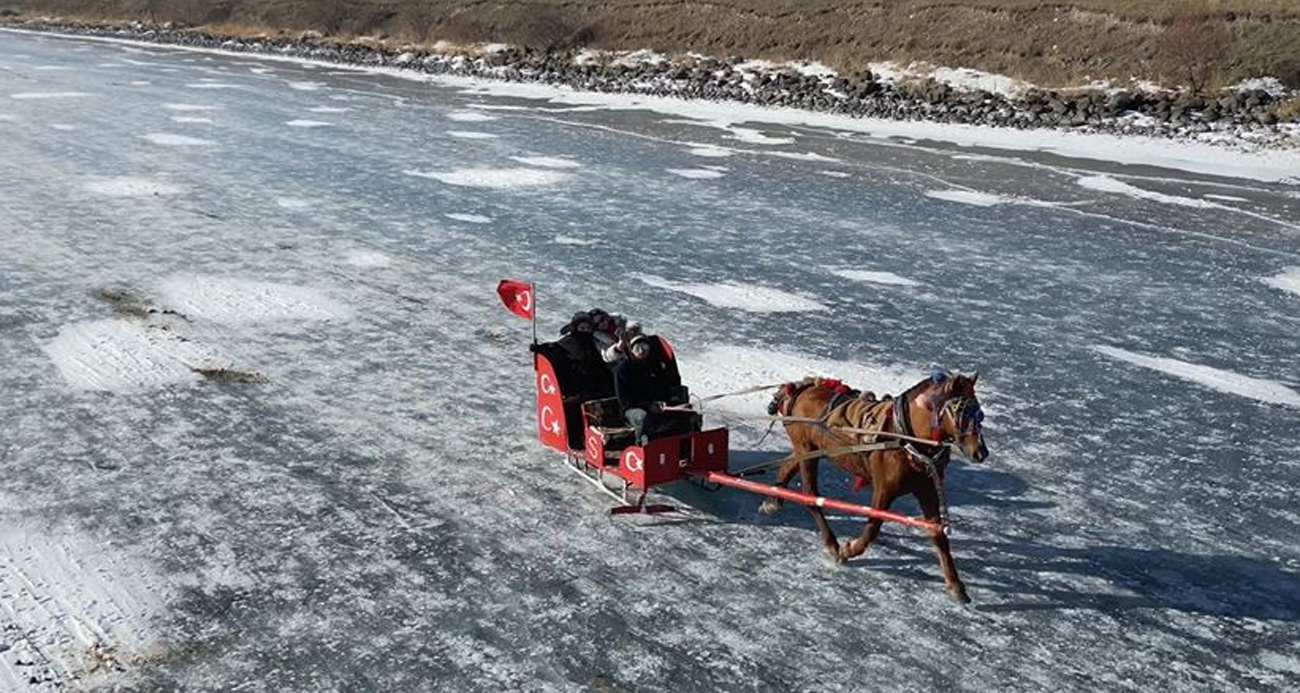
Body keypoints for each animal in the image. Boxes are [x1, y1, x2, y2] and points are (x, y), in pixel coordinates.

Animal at [759, 371, 982, 600]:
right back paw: (832, 544)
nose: (981, 452)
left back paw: (773, 499)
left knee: (786, 467)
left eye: (980, 413)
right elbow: (872, 528)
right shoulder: (884, 489)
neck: (904, 436)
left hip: (808, 450)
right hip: (806, 450)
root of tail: (802, 388)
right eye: (961, 411)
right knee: (811, 496)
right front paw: (849, 549)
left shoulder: (926, 489)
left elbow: (937, 533)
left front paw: (955, 584)